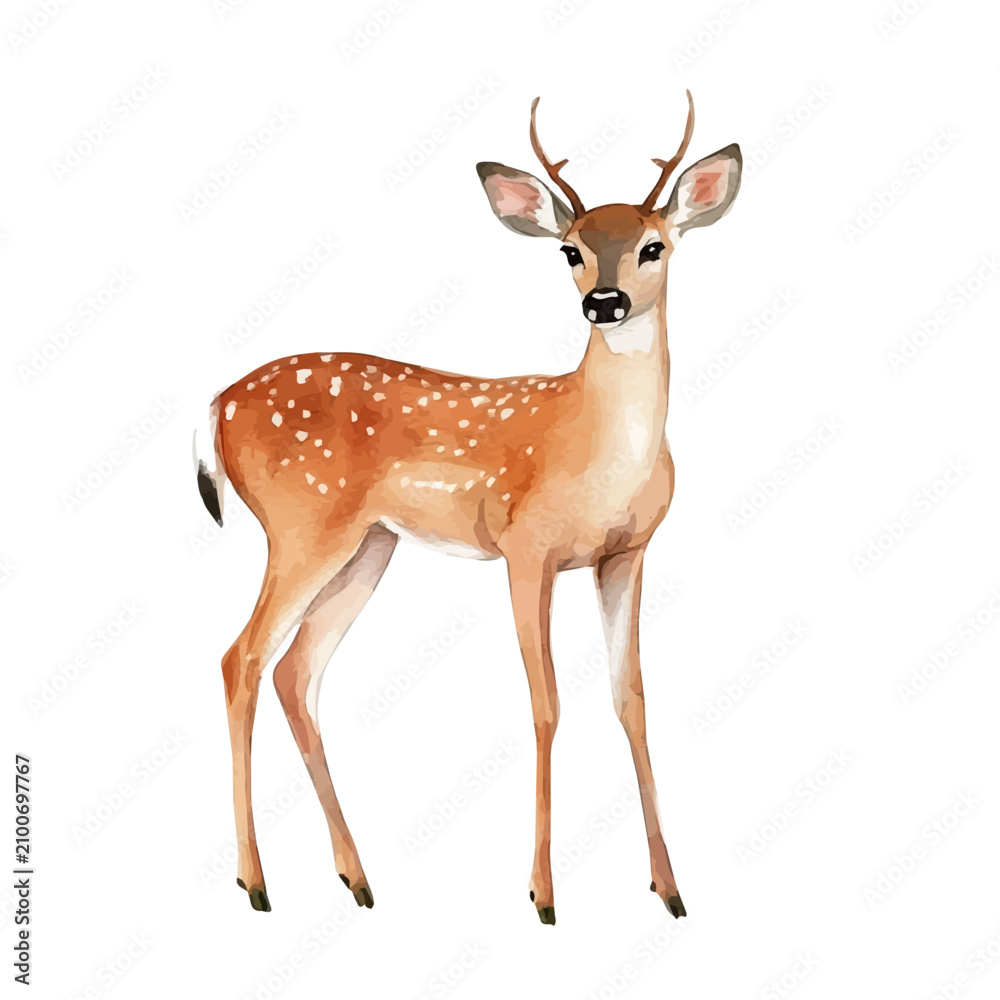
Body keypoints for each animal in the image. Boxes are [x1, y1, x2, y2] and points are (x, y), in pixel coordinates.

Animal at [195, 91, 741, 925]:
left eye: (654, 246)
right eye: (569, 250)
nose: (604, 302)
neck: (593, 447)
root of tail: (216, 405)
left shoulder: (626, 553)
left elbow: (632, 699)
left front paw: (671, 888)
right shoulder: (525, 548)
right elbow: (546, 704)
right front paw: (543, 896)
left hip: (368, 546)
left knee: (296, 671)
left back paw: (357, 880)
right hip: (301, 525)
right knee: (242, 658)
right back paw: (256, 884)